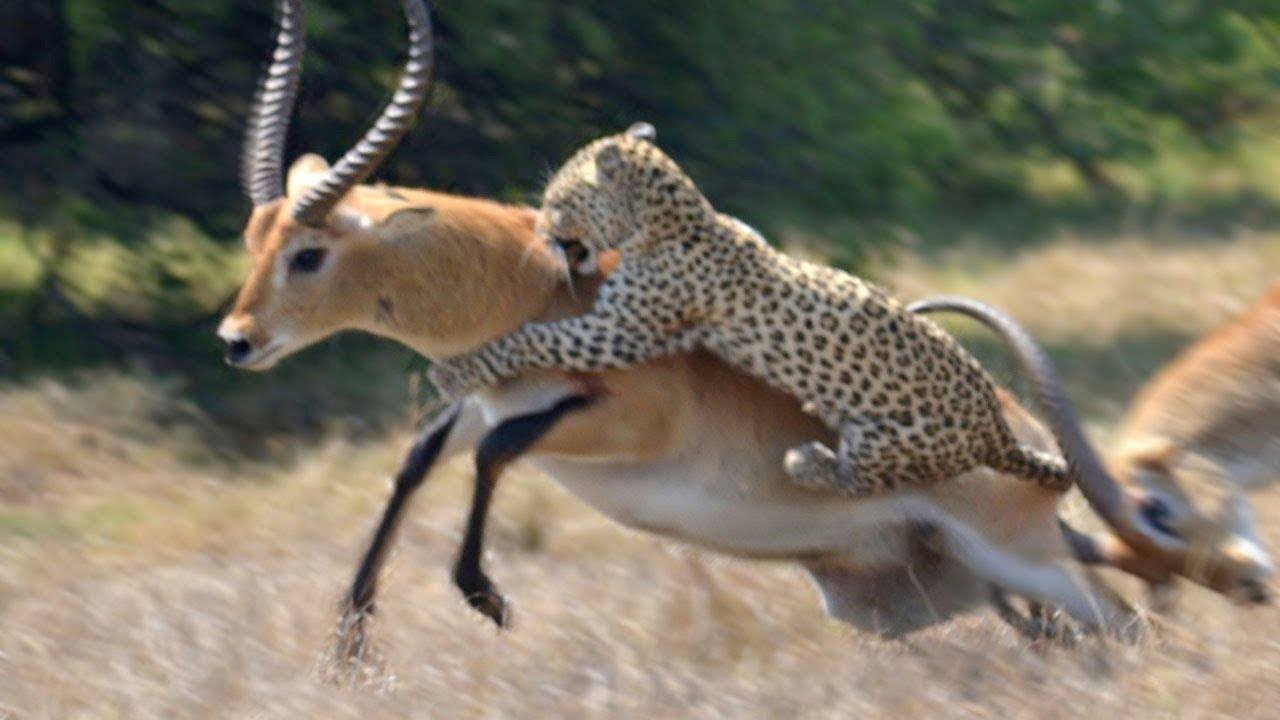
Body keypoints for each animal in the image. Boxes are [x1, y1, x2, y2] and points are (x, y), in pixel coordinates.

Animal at [428, 125, 1071, 498]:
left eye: (559, 198)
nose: (540, 226)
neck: (673, 219)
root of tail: (995, 431)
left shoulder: (621, 332)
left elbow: (532, 338)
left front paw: (456, 372)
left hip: (893, 443)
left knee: (859, 482)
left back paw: (808, 459)